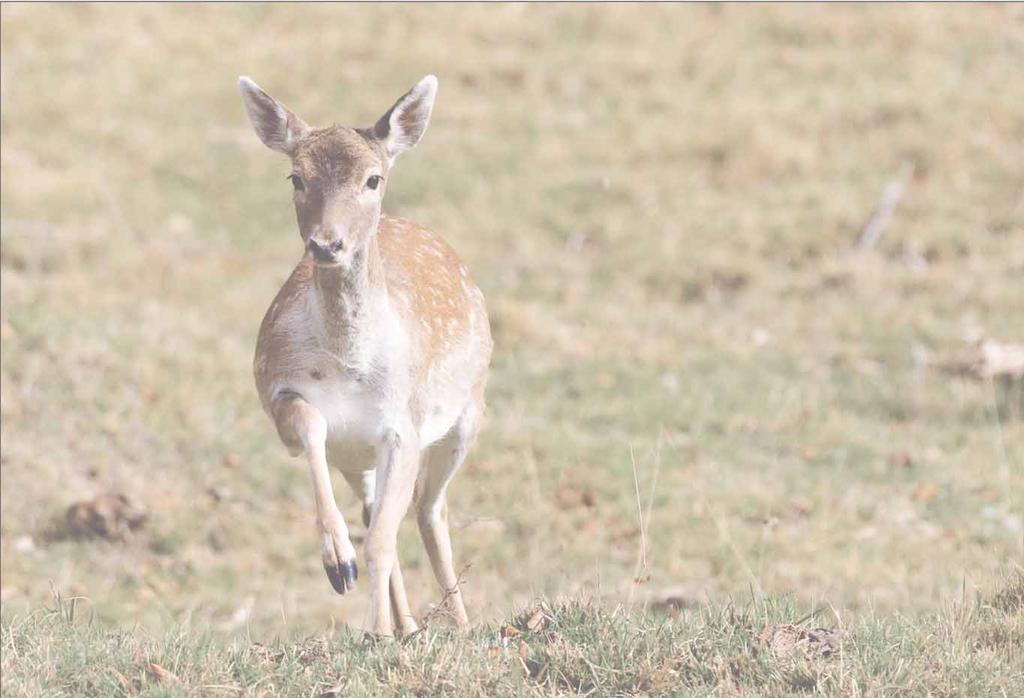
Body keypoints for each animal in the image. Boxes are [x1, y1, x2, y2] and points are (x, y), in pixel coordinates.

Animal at [240, 74, 495, 634]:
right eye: (296, 177)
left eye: (373, 179)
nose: (325, 244)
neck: (347, 368)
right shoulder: (279, 392)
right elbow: (313, 429)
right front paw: (339, 564)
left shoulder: (405, 424)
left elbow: (382, 540)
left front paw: (376, 628)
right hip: (358, 460)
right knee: (384, 512)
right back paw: (409, 626)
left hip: (468, 413)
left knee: (429, 509)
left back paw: (458, 623)